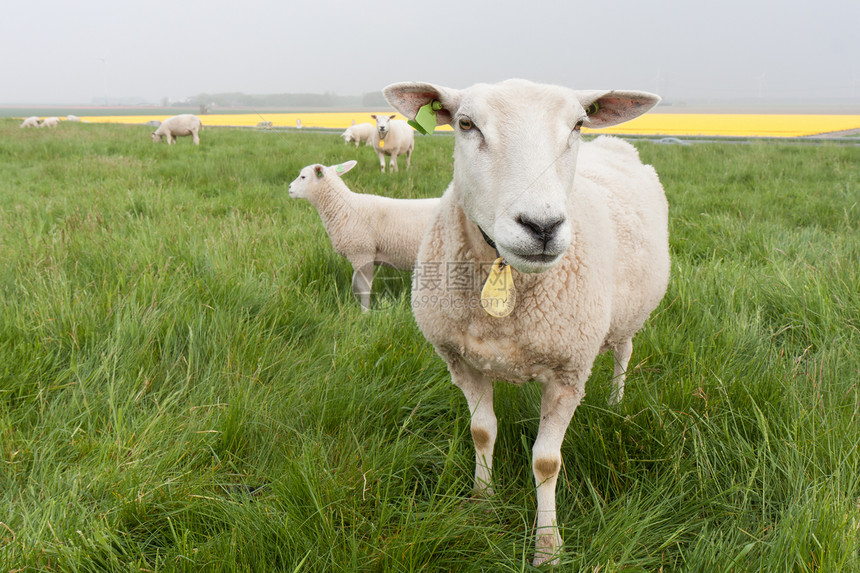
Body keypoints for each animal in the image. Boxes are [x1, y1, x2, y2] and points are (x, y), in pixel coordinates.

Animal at [288, 159, 440, 310]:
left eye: (303, 177)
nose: (289, 188)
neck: (343, 207)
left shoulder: (362, 252)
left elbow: (363, 288)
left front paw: (365, 311)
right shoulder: (356, 255)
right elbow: (355, 285)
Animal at [382, 78, 672, 564]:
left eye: (578, 124)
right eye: (466, 124)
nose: (542, 226)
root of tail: (618, 144)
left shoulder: (569, 371)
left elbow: (546, 461)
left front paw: (548, 547)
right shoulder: (462, 362)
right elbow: (482, 432)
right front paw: (481, 503)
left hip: (628, 314)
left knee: (624, 351)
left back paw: (616, 401)